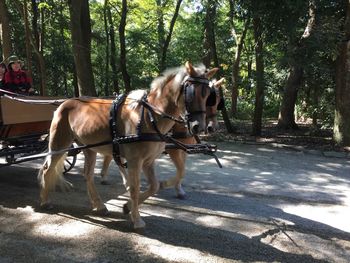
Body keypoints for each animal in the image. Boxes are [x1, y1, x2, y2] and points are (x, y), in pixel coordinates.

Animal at [39, 61, 219, 229]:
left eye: (208, 95)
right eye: (191, 92)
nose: (199, 127)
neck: (149, 116)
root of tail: (64, 103)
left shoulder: (148, 161)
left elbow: (154, 186)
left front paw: (128, 207)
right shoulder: (135, 161)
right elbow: (134, 188)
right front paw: (137, 219)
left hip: (89, 148)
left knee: (88, 175)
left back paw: (99, 205)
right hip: (59, 143)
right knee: (48, 170)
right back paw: (45, 201)